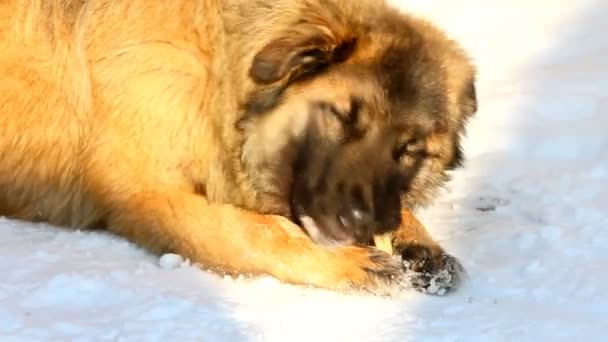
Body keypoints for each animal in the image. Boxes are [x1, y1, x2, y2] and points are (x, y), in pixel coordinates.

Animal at [0, 0, 476, 296]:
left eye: (411, 150)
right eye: (342, 116)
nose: (360, 220)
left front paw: (415, 239)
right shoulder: (147, 196)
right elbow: (255, 231)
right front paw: (351, 261)